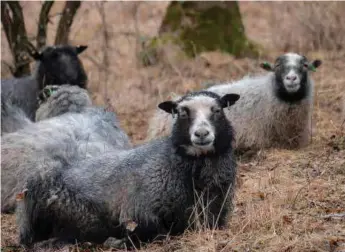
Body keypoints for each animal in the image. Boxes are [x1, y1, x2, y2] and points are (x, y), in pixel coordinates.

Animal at [17, 90, 241, 248]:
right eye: (182, 112)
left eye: (218, 110)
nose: (201, 134)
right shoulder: (147, 214)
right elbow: (152, 232)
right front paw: (125, 241)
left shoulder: (216, 212)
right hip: (80, 215)